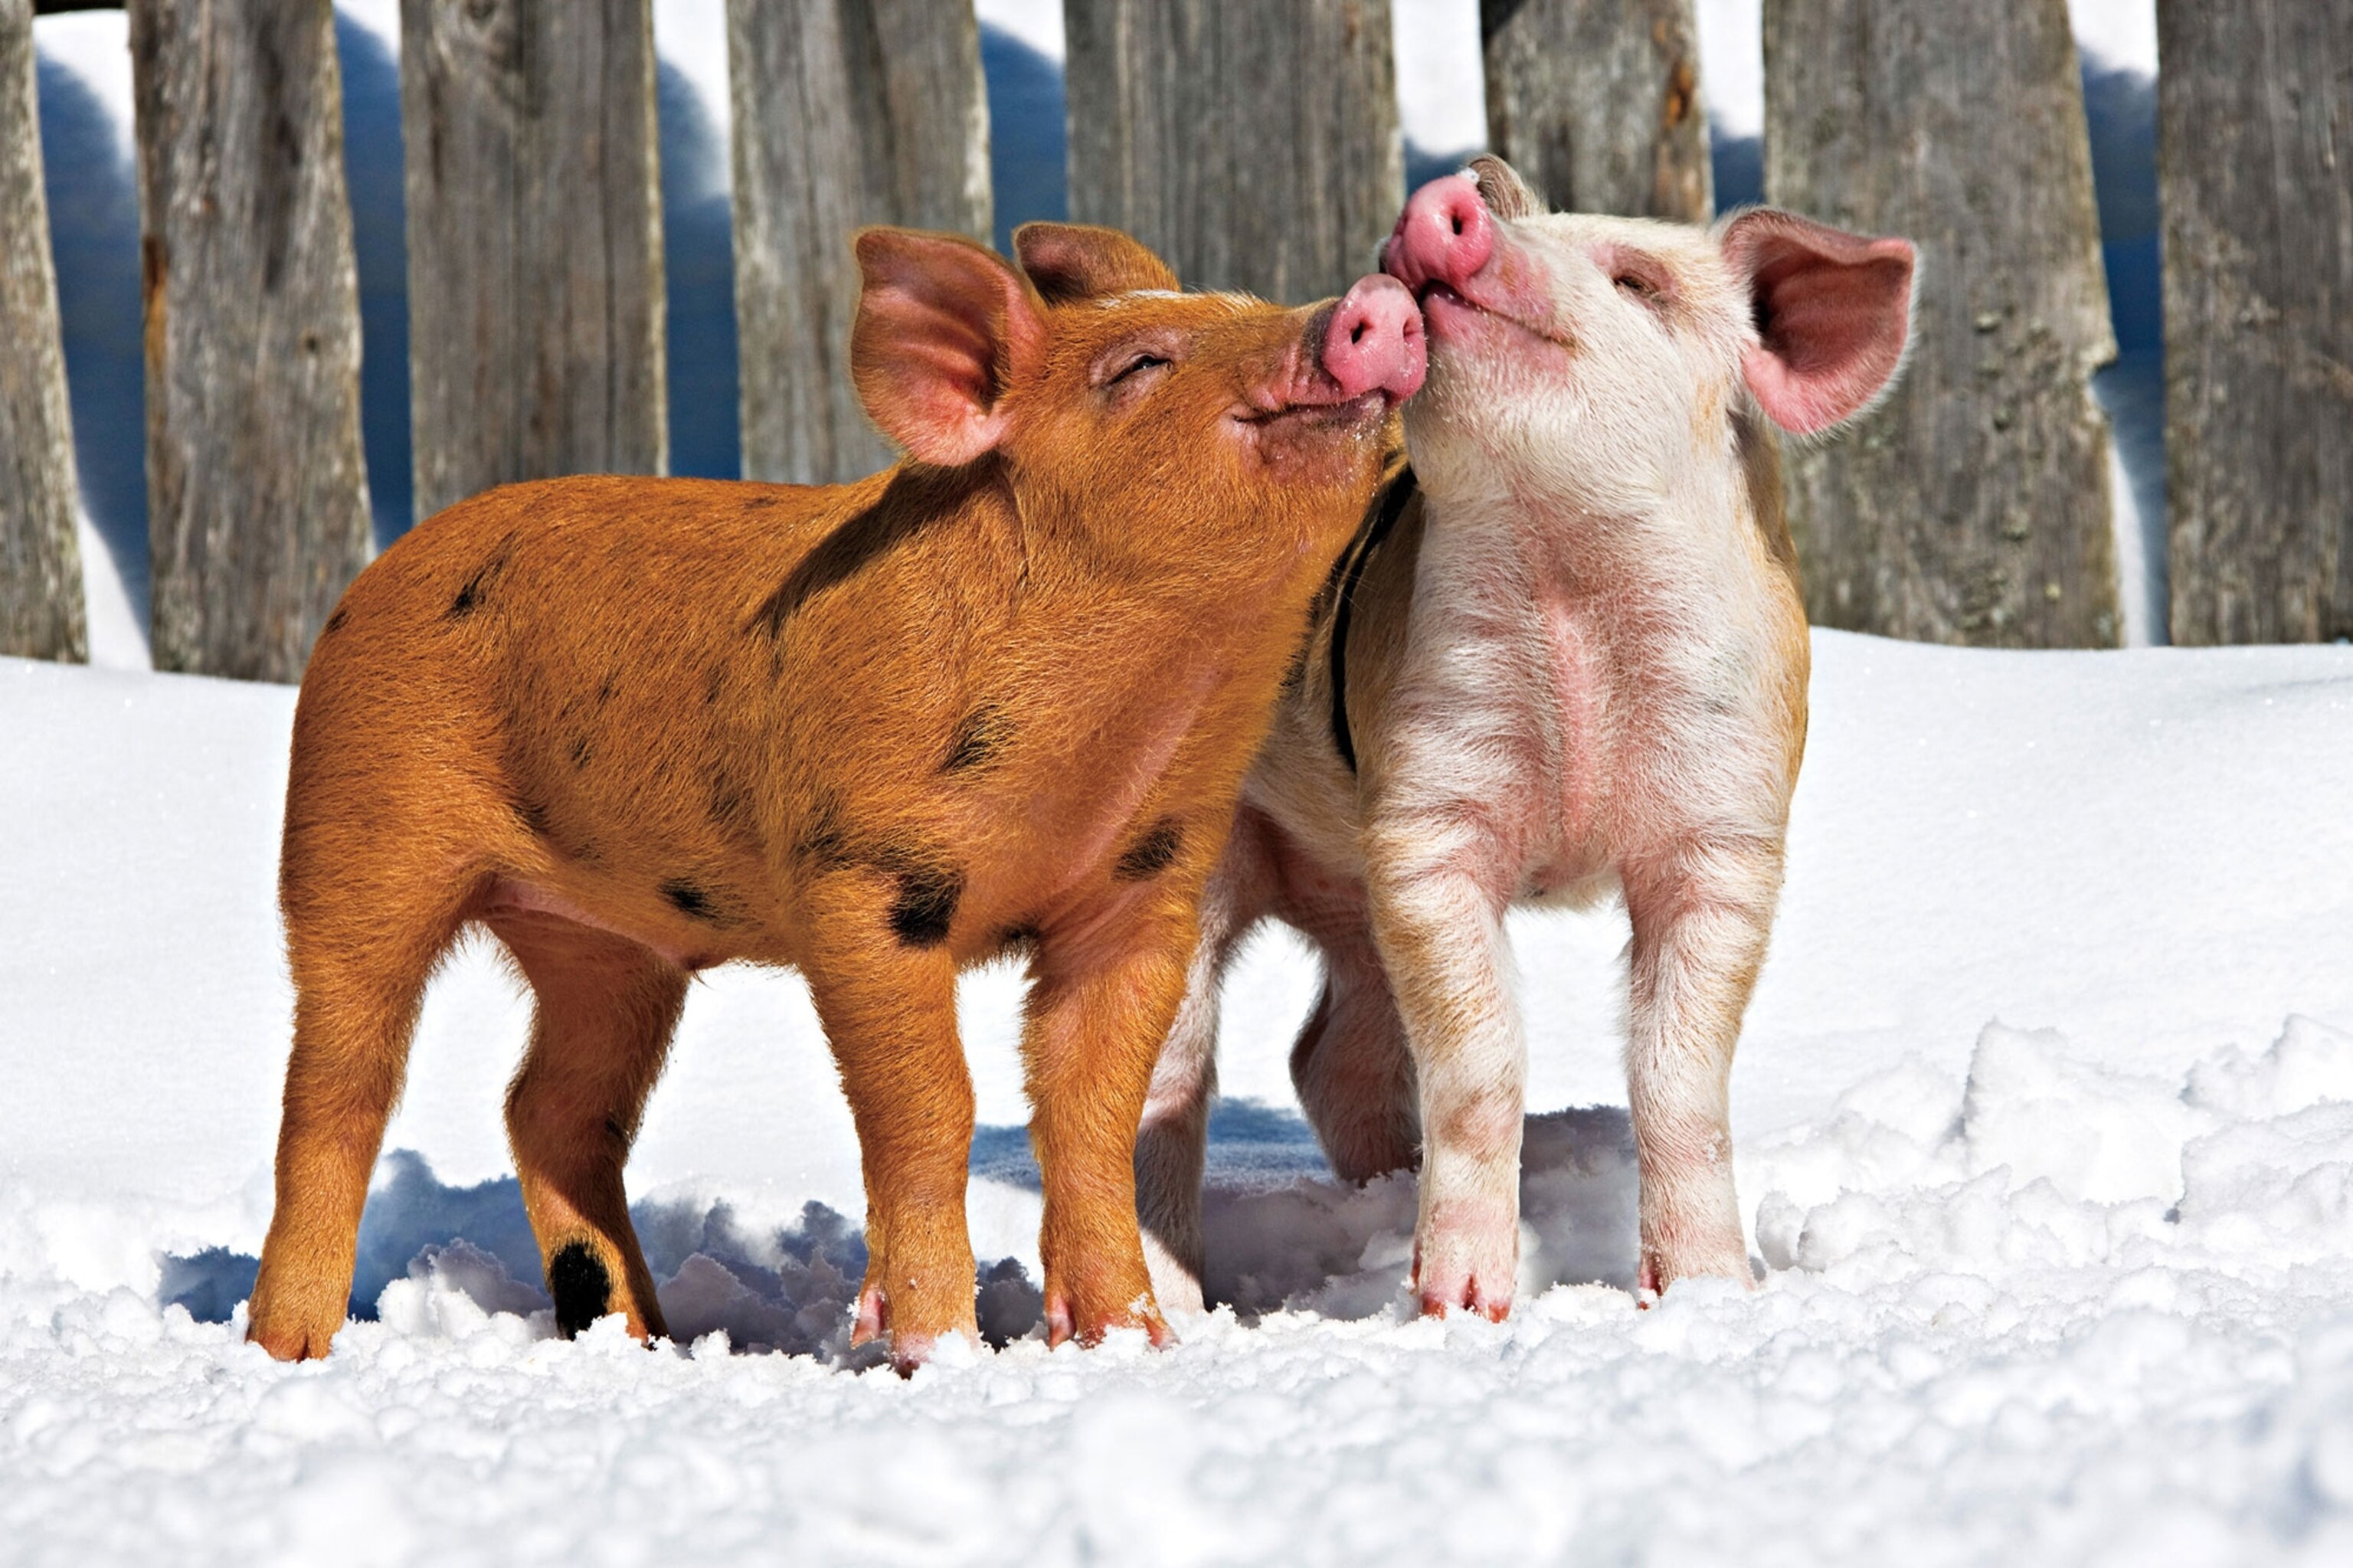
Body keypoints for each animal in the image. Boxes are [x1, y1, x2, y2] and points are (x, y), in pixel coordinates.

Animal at [245, 221, 1424, 1369]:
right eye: (1137, 365)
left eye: (1243, 302)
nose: (1372, 301)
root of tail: (371, 579)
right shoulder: (863, 881)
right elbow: (934, 1106)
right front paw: (934, 1350)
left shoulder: (1142, 892)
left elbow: (1092, 1113)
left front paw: (1131, 1342)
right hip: (354, 834)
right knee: (335, 1091)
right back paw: (295, 1349)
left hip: (607, 948)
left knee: (549, 1109)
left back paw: (643, 1341)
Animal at [1135, 157, 1915, 1316]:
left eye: (1639, 284)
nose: (1440, 201)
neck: (1567, 577)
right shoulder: (1425, 817)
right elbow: (1481, 1061)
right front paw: (1465, 1305)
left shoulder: (1728, 830)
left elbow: (1680, 1078)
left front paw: (1707, 1294)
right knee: (1163, 1077)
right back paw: (1174, 1313)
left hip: (1352, 902)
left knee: (1328, 1058)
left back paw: (1379, 1207)